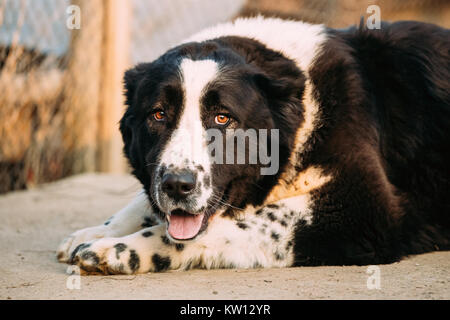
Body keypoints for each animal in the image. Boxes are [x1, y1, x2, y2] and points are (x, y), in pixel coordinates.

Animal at [58, 16, 448, 274]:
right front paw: (99, 231)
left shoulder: (366, 208)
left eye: (222, 118)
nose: (177, 185)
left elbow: (234, 224)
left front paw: (120, 248)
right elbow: (145, 203)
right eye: (158, 114)